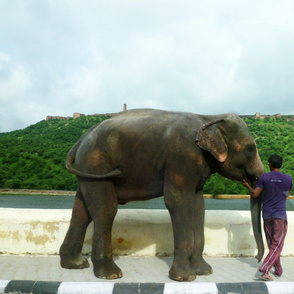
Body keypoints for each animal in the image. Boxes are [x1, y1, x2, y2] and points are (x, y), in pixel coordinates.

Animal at [59, 109, 264, 282]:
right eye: (250, 149)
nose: (257, 258)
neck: (208, 118)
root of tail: (80, 139)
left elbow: (198, 207)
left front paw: (205, 272)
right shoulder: (182, 156)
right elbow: (177, 201)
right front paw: (185, 278)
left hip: (87, 167)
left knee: (82, 212)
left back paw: (75, 265)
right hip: (96, 161)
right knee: (106, 210)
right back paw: (111, 274)